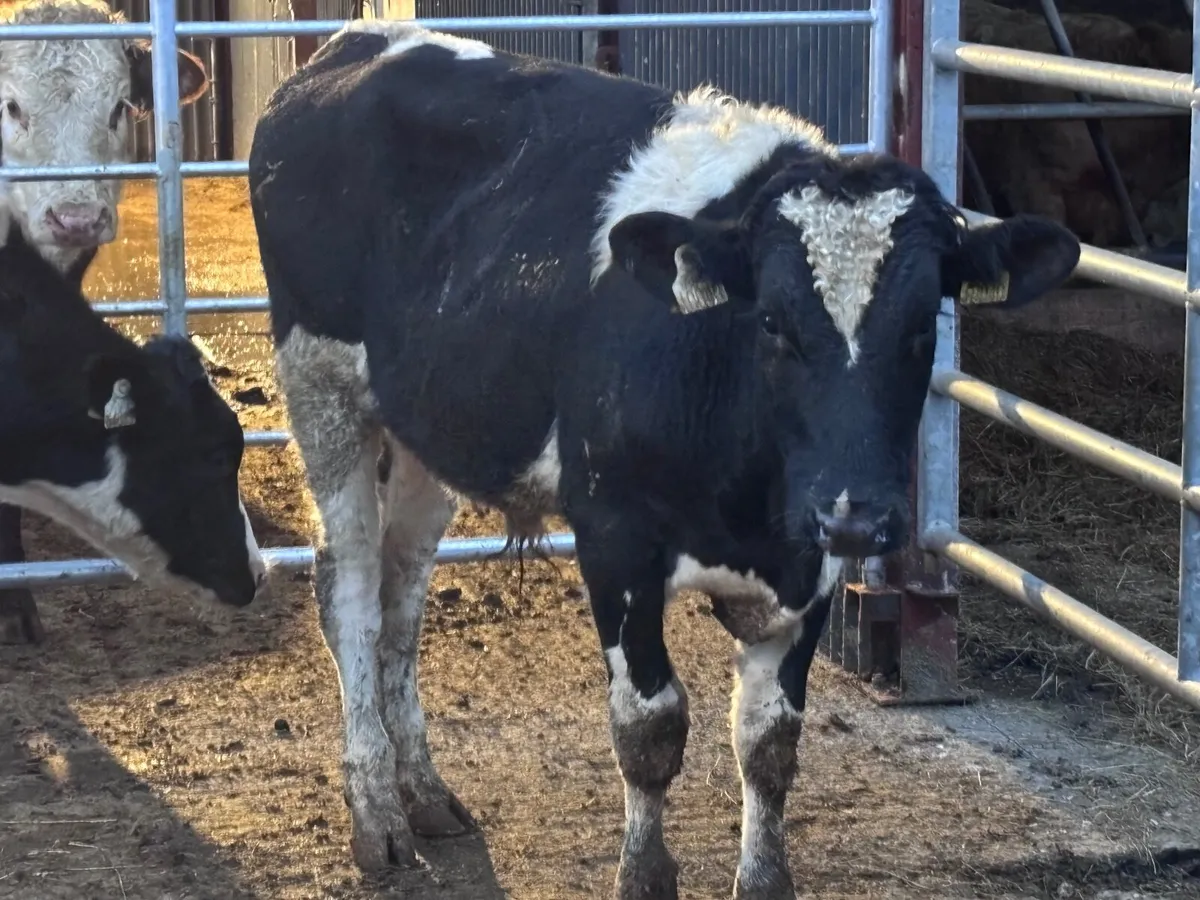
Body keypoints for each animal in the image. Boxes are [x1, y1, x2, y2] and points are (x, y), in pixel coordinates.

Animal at [247, 21, 1081, 900]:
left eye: (926, 323)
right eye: (772, 320)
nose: (859, 513)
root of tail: (355, 39)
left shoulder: (812, 560)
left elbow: (770, 743)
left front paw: (765, 878)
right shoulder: (616, 539)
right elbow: (649, 729)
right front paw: (643, 874)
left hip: (427, 429)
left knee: (403, 596)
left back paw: (425, 791)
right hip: (323, 389)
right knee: (350, 594)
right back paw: (377, 813)